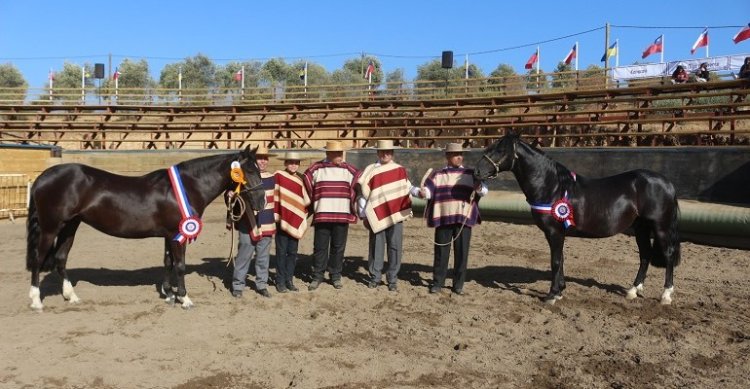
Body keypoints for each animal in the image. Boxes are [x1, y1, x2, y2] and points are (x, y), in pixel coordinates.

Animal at [25, 146, 268, 310]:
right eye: (248, 171)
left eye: (258, 169)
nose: (261, 201)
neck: (188, 187)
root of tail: (42, 178)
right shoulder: (178, 234)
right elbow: (180, 265)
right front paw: (184, 298)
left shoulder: (170, 235)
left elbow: (168, 263)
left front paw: (168, 294)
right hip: (51, 227)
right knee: (38, 258)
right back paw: (36, 301)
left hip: (70, 226)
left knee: (61, 258)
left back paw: (71, 296)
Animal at [478, 135, 684, 304]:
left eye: (500, 150)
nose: (477, 170)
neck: (552, 186)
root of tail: (667, 183)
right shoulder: (557, 233)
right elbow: (560, 259)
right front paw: (560, 291)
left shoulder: (554, 232)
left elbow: (555, 261)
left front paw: (551, 295)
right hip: (641, 228)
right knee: (645, 255)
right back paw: (633, 291)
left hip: (661, 227)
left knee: (668, 255)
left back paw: (666, 295)